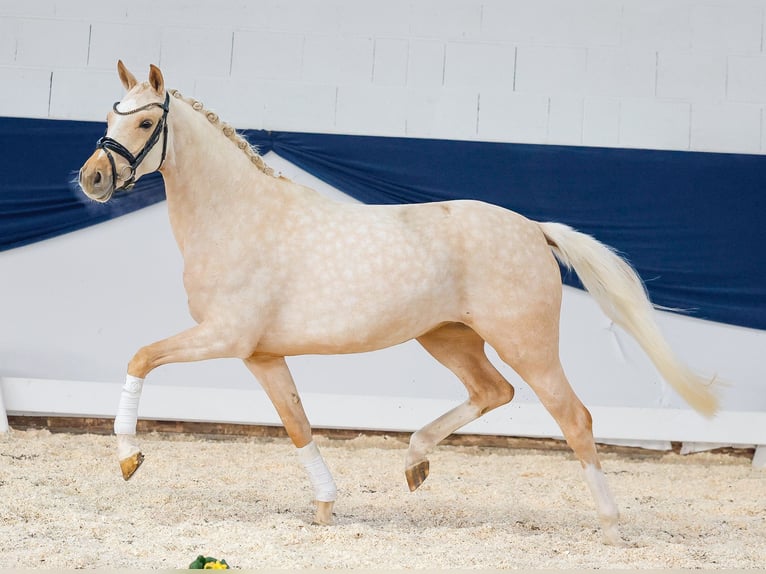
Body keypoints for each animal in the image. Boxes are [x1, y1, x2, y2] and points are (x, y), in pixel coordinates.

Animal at [79, 60, 720, 548]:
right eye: (110, 115)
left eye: (144, 120)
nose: (93, 179)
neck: (239, 216)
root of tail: (534, 230)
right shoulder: (260, 354)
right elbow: (297, 423)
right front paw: (325, 507)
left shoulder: (224, 336)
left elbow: (140, 357)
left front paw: (129, 458)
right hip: (447, 336)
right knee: (494, 392)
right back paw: (415, 463)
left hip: (526, 342)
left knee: (573, 417)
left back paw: (610, 527)